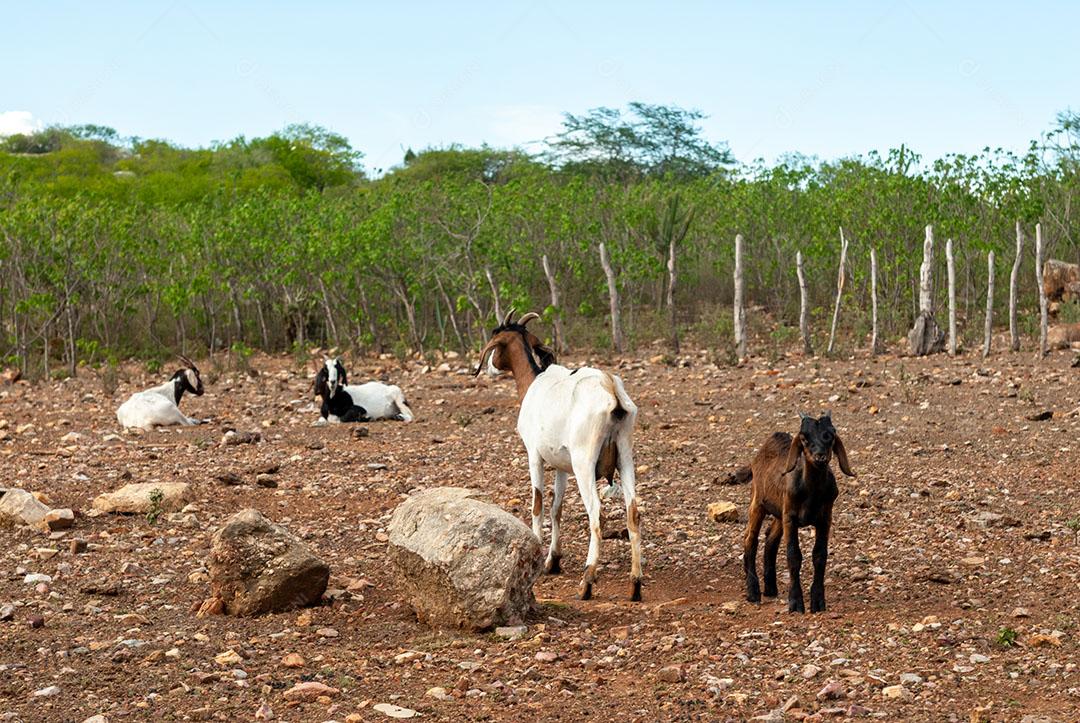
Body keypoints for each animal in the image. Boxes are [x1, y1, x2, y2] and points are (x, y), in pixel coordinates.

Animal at [475, 309, 643, 601]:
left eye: (497, 337)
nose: (491, 368)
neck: (533, 381)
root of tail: (611, 390)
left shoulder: (534, 456)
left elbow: (538, 505)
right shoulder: (562, 467)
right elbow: (557, 508)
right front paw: (552, 560)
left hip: (584, 463)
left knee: (597, 514)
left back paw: (587, 581)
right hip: (625, 457)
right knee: (633, 512)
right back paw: (635, 584)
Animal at [741, 412, 854, 613]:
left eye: (831, 435)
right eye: (804, 437)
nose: (820, 457)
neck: (812, 492)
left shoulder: (824, 518)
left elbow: (820, 555)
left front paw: (818, 602)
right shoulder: (791, 518)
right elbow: (793, 555)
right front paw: (795, 603)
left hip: (779, 512)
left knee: (770, 539)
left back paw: (770, 588)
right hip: (758, 502)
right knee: (750, 539)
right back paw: (753, 592)